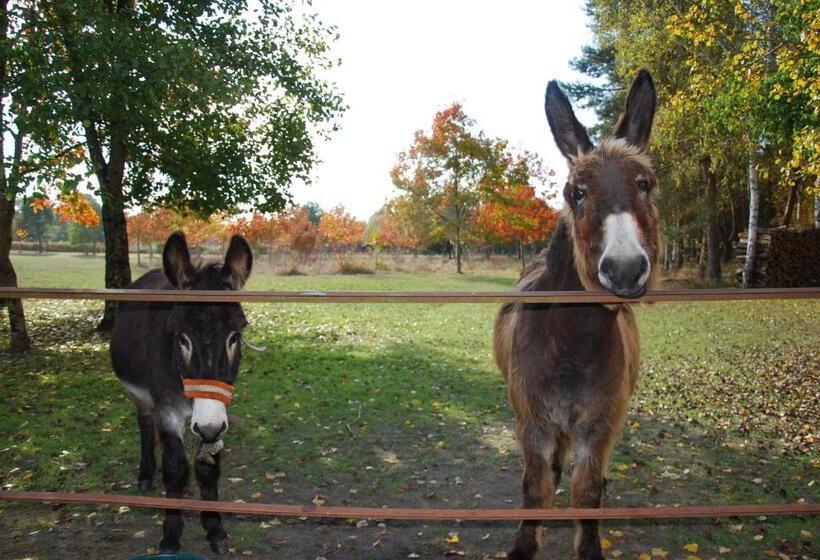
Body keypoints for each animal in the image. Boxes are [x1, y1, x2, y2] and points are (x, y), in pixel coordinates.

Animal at [111, 231, 253, 554]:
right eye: (181, 338)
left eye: (235, 337)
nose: (209, 427)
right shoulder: (166, 409)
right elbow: (175, 468)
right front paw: (171, 536)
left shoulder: (218, 412)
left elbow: (207, 468)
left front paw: (215, 531)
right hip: (141, 396)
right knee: (144, 423)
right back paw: (145, 476)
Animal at [493, 70, 660, 560]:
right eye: (575, 192)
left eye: (645, 184)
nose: (624, 269)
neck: (572, 342)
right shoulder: (532, 421)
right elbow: (534, 488)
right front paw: (524, 545)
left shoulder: (600, 425)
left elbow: (587, 495)